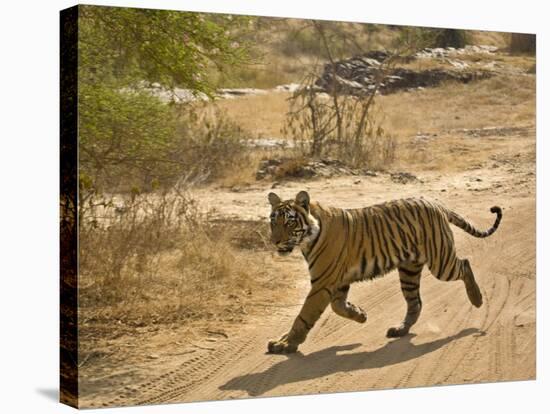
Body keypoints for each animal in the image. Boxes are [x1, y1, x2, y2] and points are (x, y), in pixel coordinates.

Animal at [268, 189, 504, 354]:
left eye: (289, 222)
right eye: (273, 221)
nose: (275, 241)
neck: (306, 239)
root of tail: (435, 203)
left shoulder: (322, 282)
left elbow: (304, 315)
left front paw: (286, 344)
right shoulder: (337, 281)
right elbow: (338, 306)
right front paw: (360, 314)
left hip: (441, 262)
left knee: (465, 264)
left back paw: (477, 299)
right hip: (409, 271)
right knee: (415, 303)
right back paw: (400, 329)